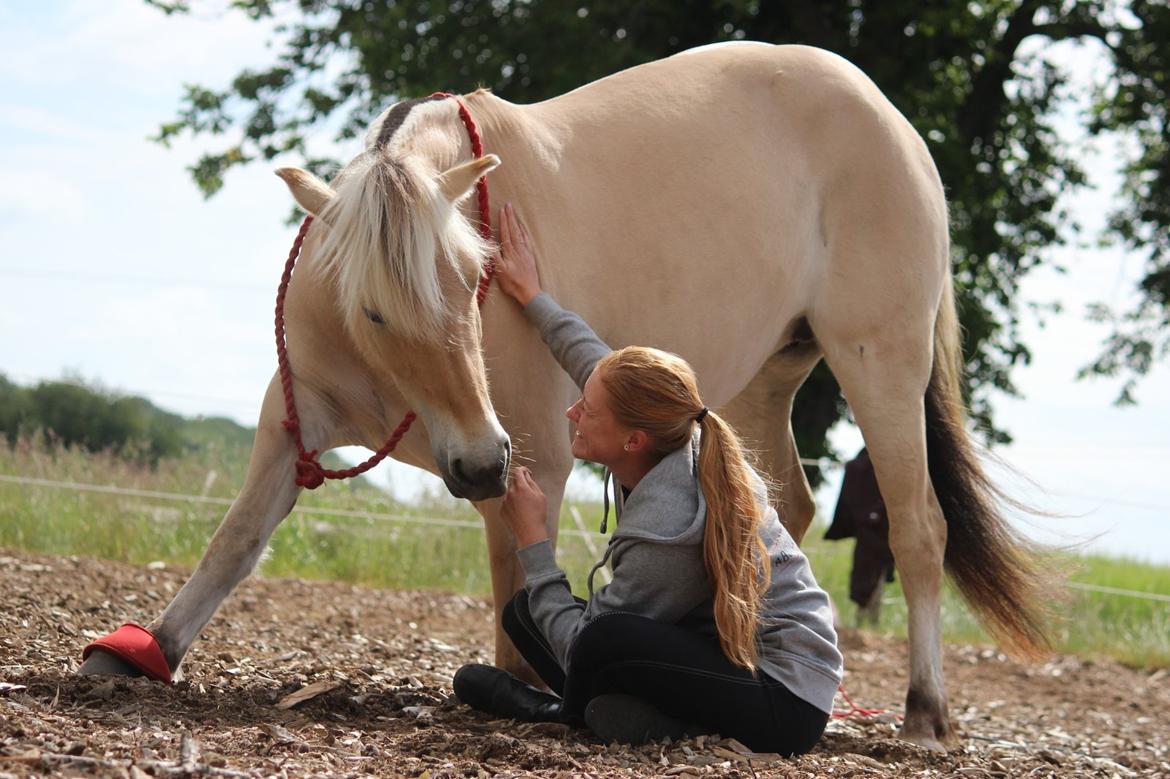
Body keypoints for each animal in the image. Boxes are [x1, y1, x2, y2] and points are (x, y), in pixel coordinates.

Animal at [82, 40, 1053, 748]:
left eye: (473, 278)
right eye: (373, 307)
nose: (480, 461)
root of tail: (888, 115)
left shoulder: (532, 456)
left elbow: (518, 579)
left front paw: (510, 692)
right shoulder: (298, 424)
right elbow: (236, 540)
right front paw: (147, 650)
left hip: (879, 361)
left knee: (918, 528)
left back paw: (925, 715)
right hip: (763, 383)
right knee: (789, 507)